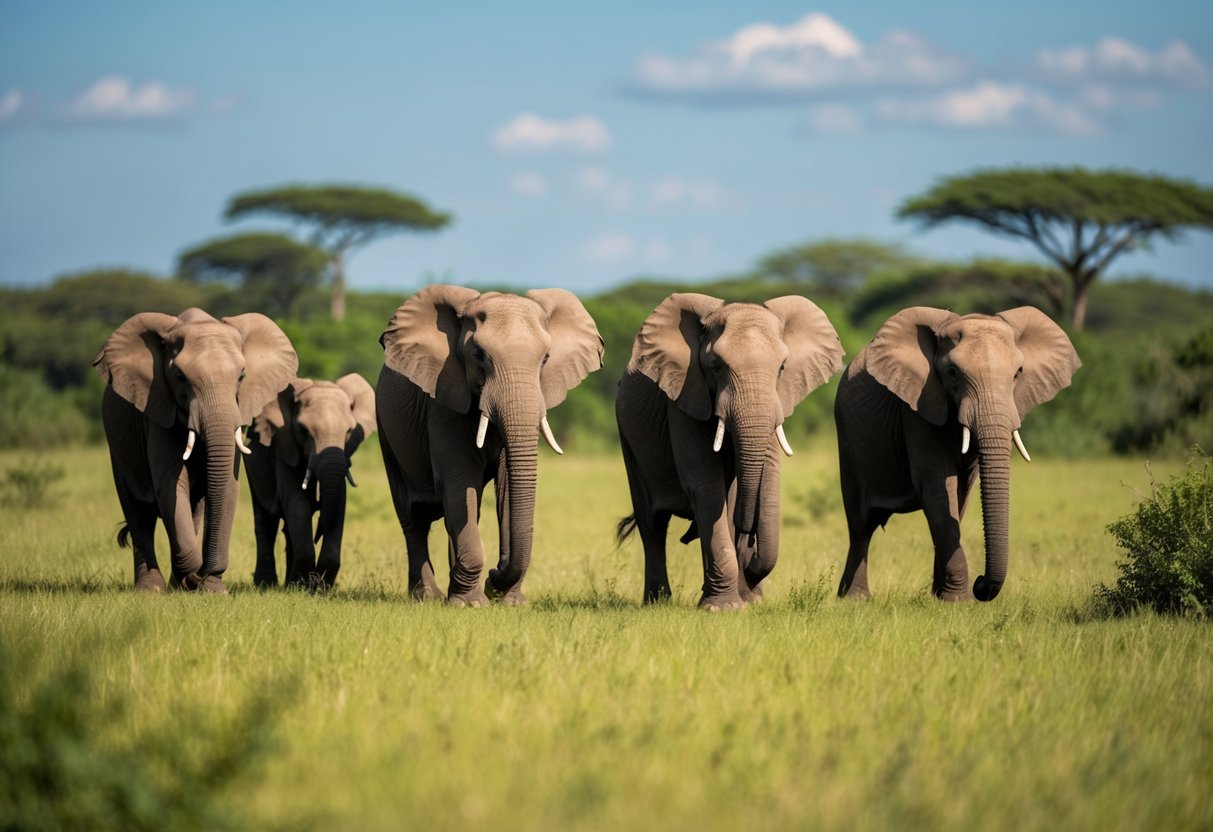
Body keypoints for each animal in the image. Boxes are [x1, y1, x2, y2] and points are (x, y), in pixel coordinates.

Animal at [94, 308, 298, 592]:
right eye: (180, 377)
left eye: (242, 376)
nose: (204, 573)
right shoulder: (159, 410)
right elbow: (170, 485)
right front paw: (195, 577)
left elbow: (228, 488)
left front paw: (212, 589)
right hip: (117, 445)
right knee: (137, 511)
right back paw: (153, 588)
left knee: (194, 510)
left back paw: (177, 584)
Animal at [244, 374, 377, 590]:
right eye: (303, 430)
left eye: (349, 431)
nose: (318, 533)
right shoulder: (284, 448)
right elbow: (297, 504)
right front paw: (306, 585)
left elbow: (339, 505)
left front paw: (319, 589)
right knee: (267, 519)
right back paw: (267, 584)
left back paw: (289, 584)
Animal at [377, 284, 604, 606]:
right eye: (479, 355)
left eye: (546, 358)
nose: (494, 578)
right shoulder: (444, 399)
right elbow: (459, 481)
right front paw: (470, 603)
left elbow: (506, 487)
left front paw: (510, 601)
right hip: (385, 428)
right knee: (413, 516)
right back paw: (429, 597)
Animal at [616, 293, 844, 610]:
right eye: (716, 366)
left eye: (782, 367)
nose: (751, 545)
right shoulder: (684, 395)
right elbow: (706, 486)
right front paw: (721, 607)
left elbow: (738, 493)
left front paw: (742, 601)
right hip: (628, 439)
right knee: (653, 525)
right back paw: (658, 601)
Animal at [834, 306, 1081, 602]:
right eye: (952, 373)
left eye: (1018, 373)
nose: (980, 583)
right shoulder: (917, 408)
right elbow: (938, 489)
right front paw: (958, 601)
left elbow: (960, 496)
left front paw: (943, 599)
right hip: (847, 439)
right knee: (861, 525)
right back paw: (854, 599)